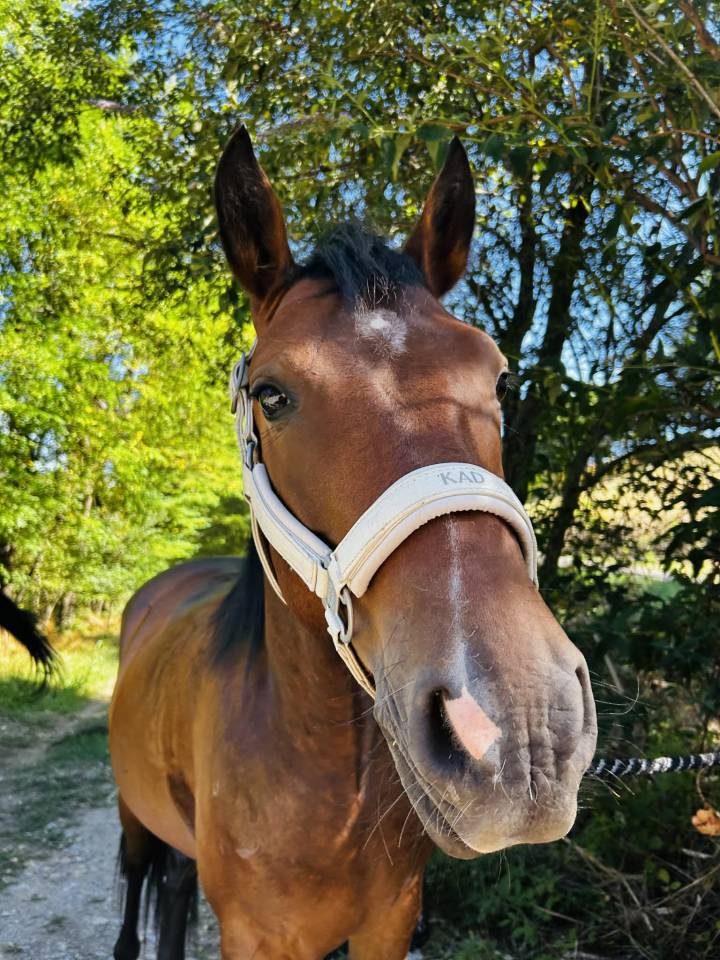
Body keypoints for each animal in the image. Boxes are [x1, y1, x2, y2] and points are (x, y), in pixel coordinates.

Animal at [109, 127, 598, 960]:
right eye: (271, 395)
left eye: (499, 380)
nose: (522, 727)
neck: (326, 783)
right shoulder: (254, 937)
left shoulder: (389, 921)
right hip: (133, 819)